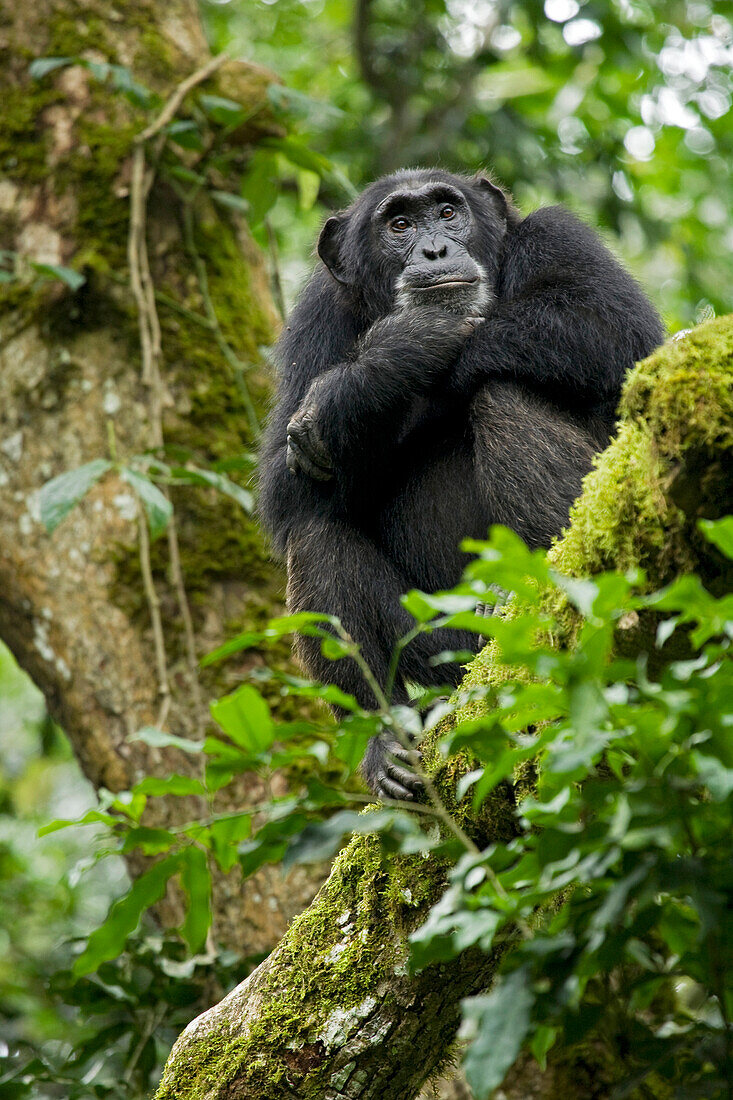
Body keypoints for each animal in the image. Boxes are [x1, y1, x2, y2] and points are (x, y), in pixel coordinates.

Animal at [256, 167, 660, 800]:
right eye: (399, 224)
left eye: (449, 212)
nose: (434, 249)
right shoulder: (316, 319)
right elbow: (285, 480)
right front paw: (394, 355)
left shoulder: (560, 237)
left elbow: (610, 324)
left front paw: (384, 370)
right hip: (439, 646)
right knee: (315, 534)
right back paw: (384, 742)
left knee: (502, 392)